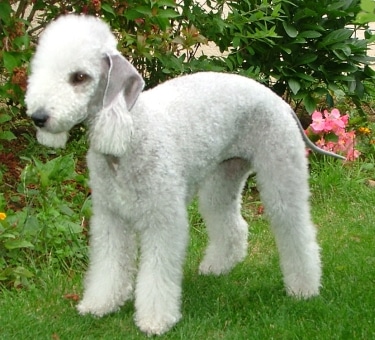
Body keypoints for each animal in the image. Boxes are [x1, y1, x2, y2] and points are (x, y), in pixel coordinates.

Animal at [25, 14, 344, 336]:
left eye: (79, 77)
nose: (38, 117)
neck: (130, 134)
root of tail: (279, 101)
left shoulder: (163, 219)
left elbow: (157, 273)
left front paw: (155, 320)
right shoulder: (110, 217)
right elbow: (109, 265)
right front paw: (100, 304)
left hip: (281, 170)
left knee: (297, 230)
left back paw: (304, 288)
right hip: (223, 176)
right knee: (232, 224)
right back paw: (218, 266)